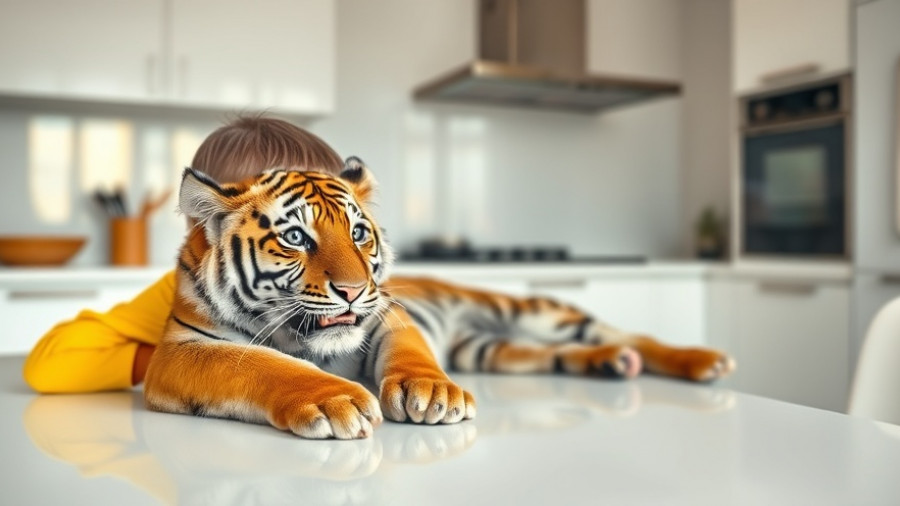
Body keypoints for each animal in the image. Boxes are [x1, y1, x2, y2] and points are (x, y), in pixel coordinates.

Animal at [144, 157, 735, 440]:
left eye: (358, 234)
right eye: (295, 237)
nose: (353, 291)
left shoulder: (388, 315)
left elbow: (412, 354)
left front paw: (432, 395)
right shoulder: (181, 350)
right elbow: (261, 364)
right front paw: (333, 400)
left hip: (534, 312)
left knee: (631, 332)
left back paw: (705, 361)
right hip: (490, 348)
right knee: (562, 353)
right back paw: (614, 364)